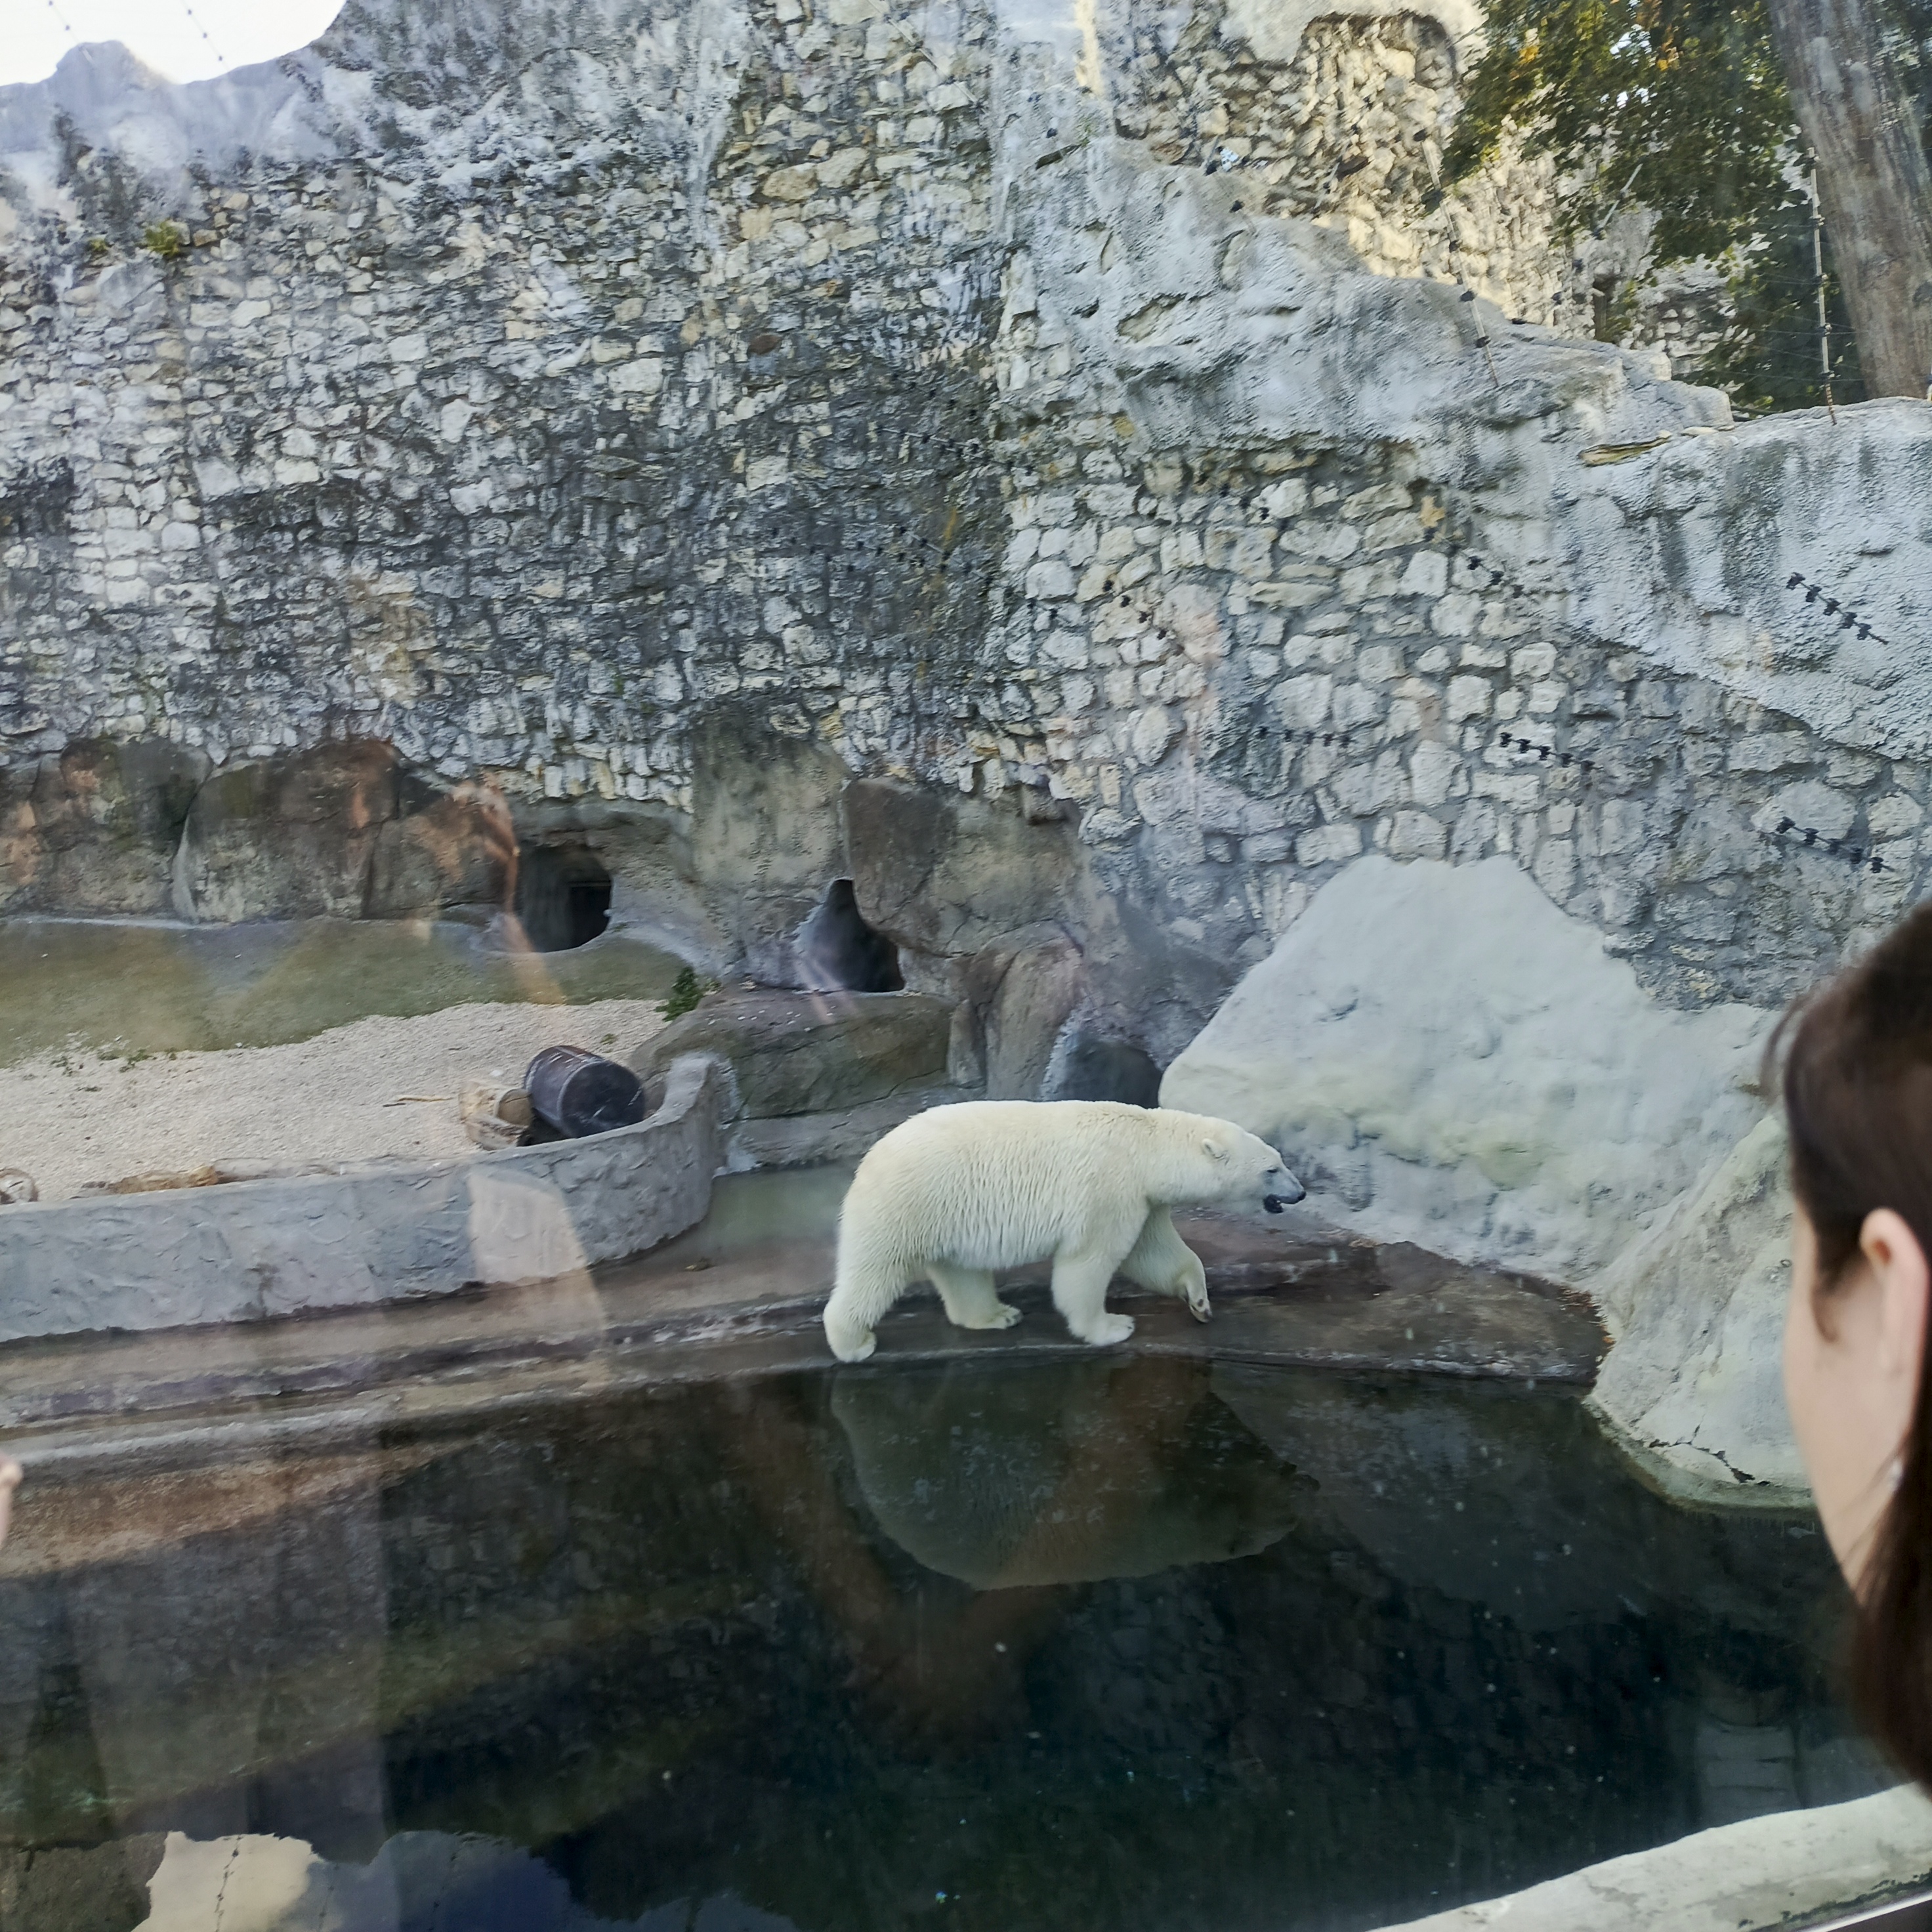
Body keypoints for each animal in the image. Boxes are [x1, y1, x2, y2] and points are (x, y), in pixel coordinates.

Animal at [822, 1099, 1305, 1363]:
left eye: (1280, 1160)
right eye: (1272, 1168)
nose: (1300, 1192)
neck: (1145, 1145)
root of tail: (870, 1158)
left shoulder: (1143, 1200)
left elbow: (1157, 1254)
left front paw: (1200, 1302)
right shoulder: (1110, 1190)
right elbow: (1088, 1263)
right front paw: (1112, 1326)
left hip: (947, 1215)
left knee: (962, 1272)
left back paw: (997, 1315)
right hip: (908, 1202)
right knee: (876, 1269)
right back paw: (854, 1343)